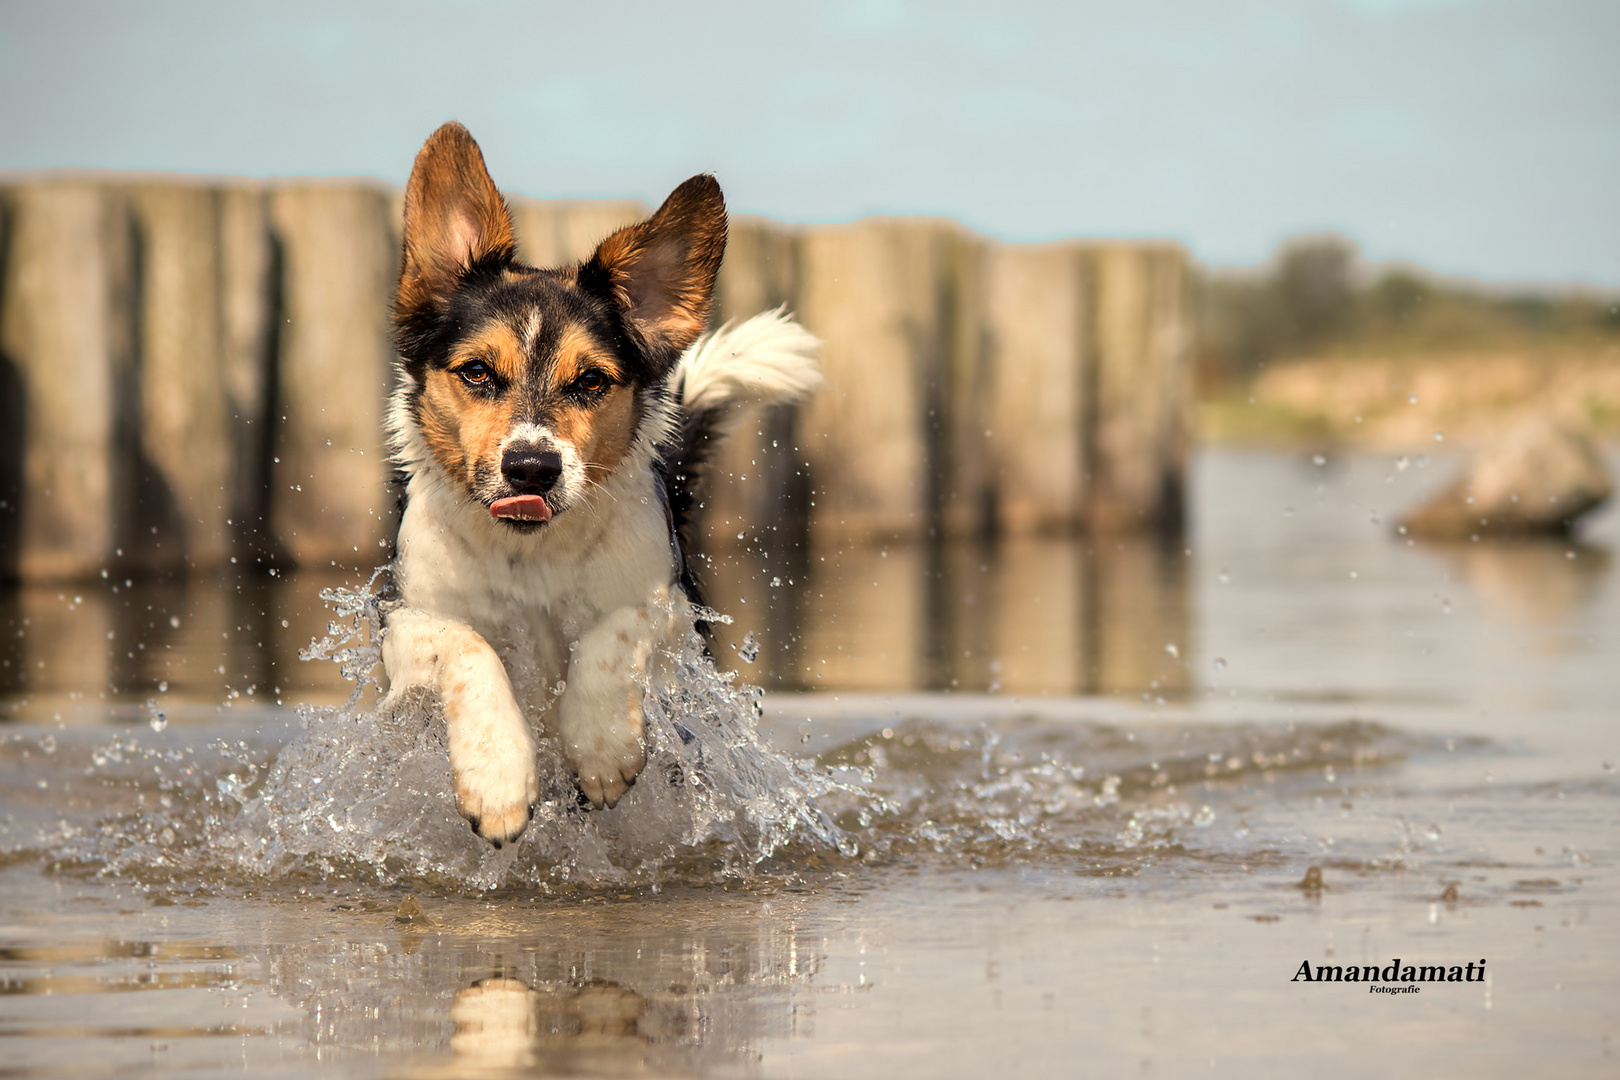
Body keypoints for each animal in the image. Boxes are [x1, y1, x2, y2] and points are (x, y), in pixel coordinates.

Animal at [382, 124, 822, 841]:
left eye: (590, 381)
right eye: (477, 373)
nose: (531, 468)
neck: (532, 552)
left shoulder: (671, 611)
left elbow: (615, 628)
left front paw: (601, 745)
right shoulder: (401, 621)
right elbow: (466, 644)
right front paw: (498, 779)